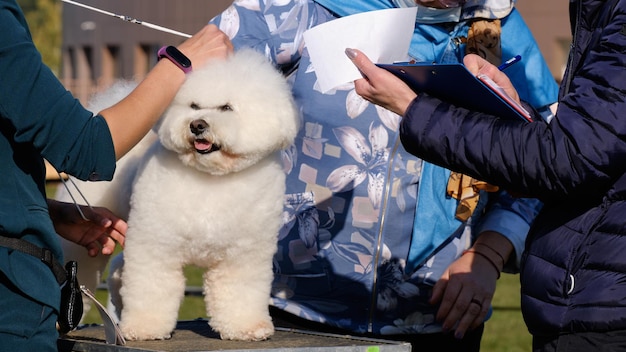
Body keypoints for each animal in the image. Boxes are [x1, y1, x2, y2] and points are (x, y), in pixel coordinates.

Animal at [55, 49, 298, 340]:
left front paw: (245, 327)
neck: (212, 179)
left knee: (118, 269)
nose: (197, 125)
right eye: (193, 105)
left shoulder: (244, 253)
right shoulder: (156, 243)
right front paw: (144, 327)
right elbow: (151, 286)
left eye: (226, 108)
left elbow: (240, 290)